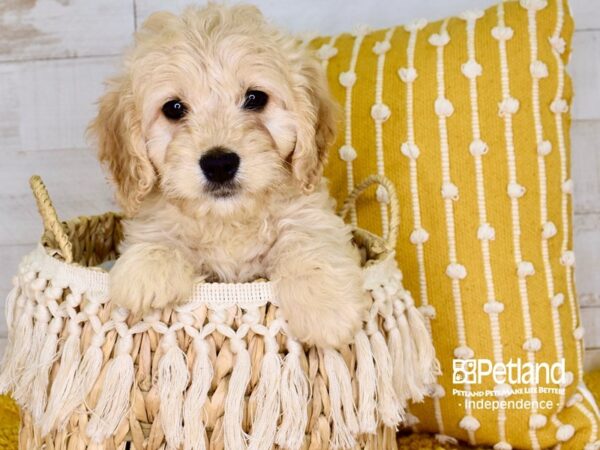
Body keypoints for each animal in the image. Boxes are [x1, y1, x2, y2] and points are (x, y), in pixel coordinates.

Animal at [91, 3, 368, 348]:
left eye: (255, 98)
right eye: (173, 108)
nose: (219, 164)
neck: (228, 219)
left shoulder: (309, 213)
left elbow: (307, 239)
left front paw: (325, 306)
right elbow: (160, 234)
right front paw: (147, 269)